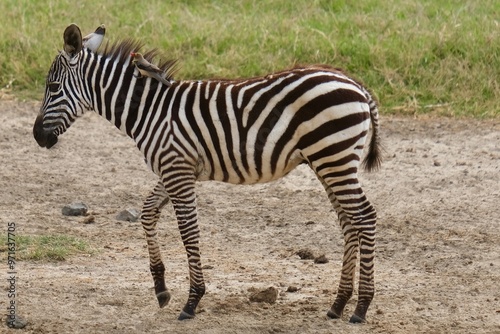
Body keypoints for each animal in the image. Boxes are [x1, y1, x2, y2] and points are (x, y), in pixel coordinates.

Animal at [33, 24, 380, 324]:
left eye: (52, 87)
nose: (37, 137)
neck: (149, 111)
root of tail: (357, 85)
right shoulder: (173, 167)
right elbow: (147, 212)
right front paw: (161, 289)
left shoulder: (177, 170)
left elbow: (188, 231)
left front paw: (192, 300)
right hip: (328, 161)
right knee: (349, 222)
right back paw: (338, 303)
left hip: (333, 157)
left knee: (364, 216)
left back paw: (361, 307)